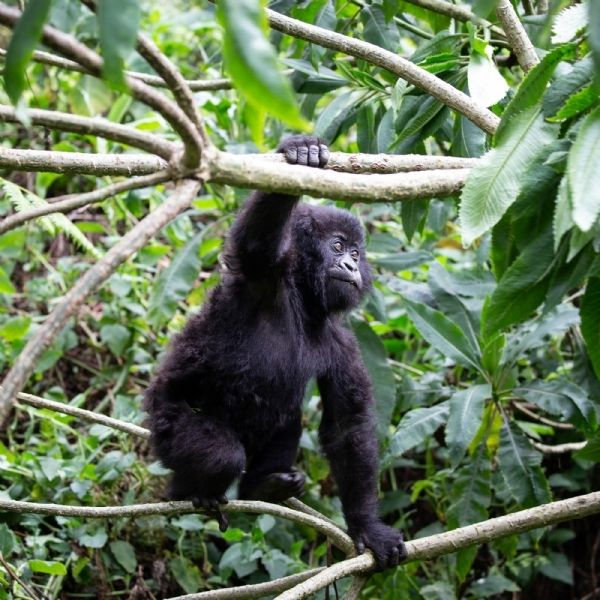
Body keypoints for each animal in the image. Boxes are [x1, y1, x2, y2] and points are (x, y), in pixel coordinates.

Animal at [145, 135, 408, 568]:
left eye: (356, 253)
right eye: (338, 246)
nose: (352, 268)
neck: (302, 302)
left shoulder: (342, 341)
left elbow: (346, 427)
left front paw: (368, 527)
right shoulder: (263, 277)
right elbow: (258, 241)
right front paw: (302, 152)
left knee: (287, 421)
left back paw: (260, 487)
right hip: (163, 418)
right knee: (220, 453)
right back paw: (188, 491)